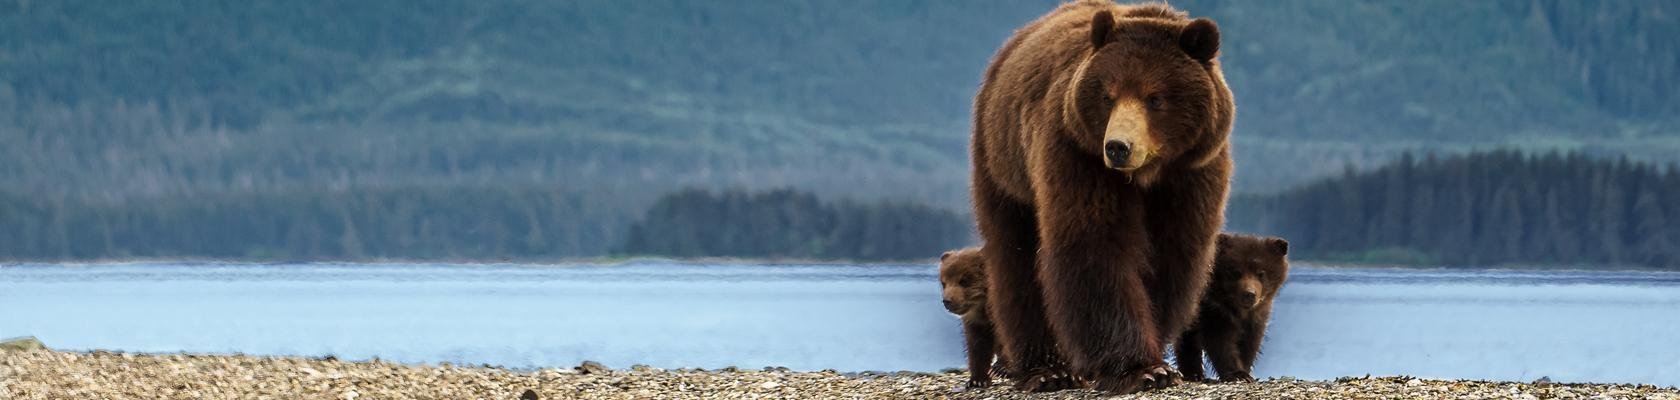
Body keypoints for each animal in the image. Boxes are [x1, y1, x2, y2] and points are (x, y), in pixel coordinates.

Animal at [974, 0, 1236, 393]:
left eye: (1154, 97)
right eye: (1108, 96)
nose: (1117, 147)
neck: (1146, 175)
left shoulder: (1191, 174)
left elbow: (1170, 254)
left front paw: (1155, 356)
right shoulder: (1077, 155)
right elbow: (1096, 244)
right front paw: (1141, 369)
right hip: (1003, 165)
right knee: (1014, 258)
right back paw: (1045, 370)